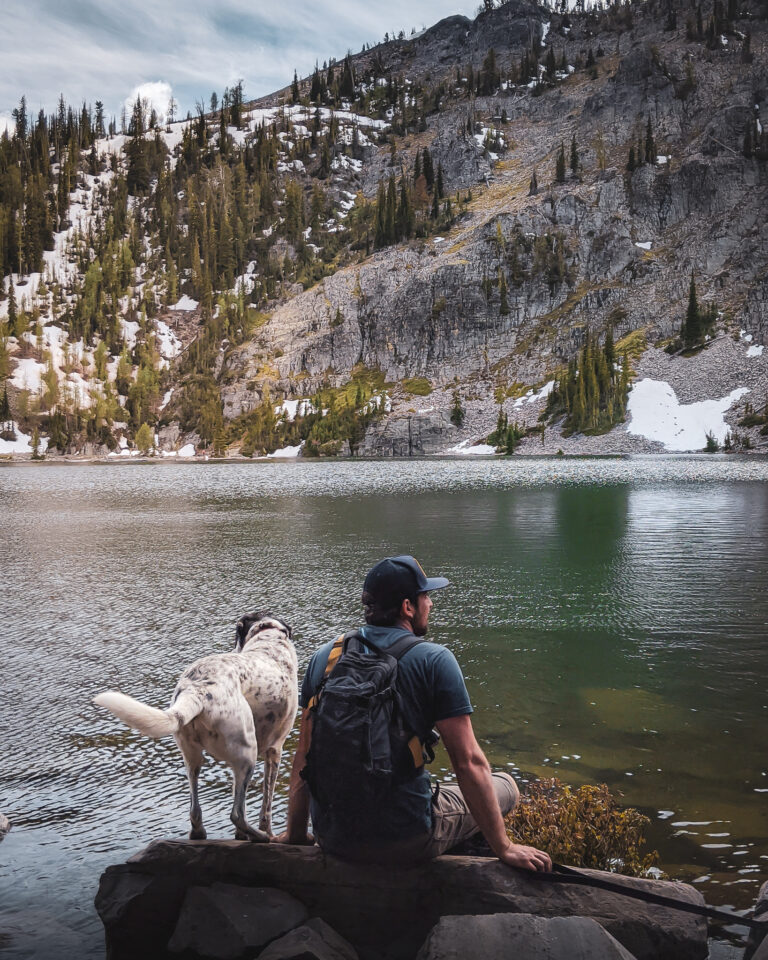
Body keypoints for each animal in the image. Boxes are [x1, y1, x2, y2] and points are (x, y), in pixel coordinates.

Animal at [94, 616, 298, 840]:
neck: (269, 640)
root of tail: (198, 690)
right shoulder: (275, 751)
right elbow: (266, 806)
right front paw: (265, 831)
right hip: (247, 756)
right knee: (237, 814)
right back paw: (262, 837)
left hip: (192, 758)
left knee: (195, 810)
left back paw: (200, 833)